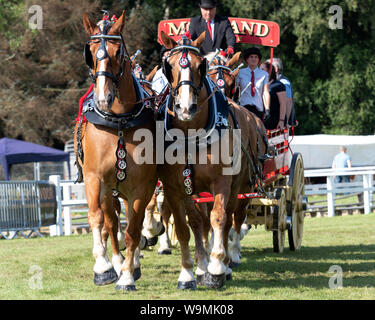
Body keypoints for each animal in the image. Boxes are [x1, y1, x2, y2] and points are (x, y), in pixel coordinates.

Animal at [158, 31, 268, 288]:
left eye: (200, 66)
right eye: (169, 66)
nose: (186, 107)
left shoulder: (222, 182)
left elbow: (219, 218)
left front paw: (217, 266)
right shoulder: (178, 186)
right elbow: (191, 225)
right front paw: (193, 270)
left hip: (240, 186)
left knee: (232, 219)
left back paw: (228, 260)